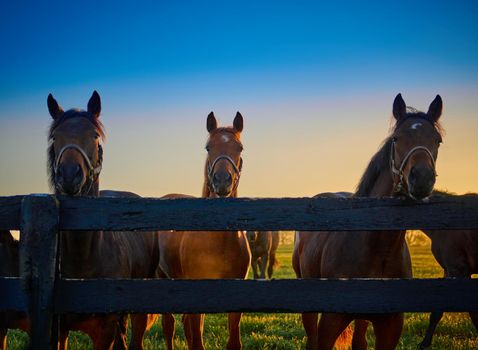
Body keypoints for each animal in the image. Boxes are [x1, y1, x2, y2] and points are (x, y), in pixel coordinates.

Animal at [159, 112, 252, 350]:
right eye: (208, 147)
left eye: (240, 147)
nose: (222, 181)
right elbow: (196, 341)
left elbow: (233, 341)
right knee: (169, 324)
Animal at [294, 93, 446, 350]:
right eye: (396, 138)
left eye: (437, 140)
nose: (422, 178)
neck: (378, 248)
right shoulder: (330, 322)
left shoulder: (390, 326)